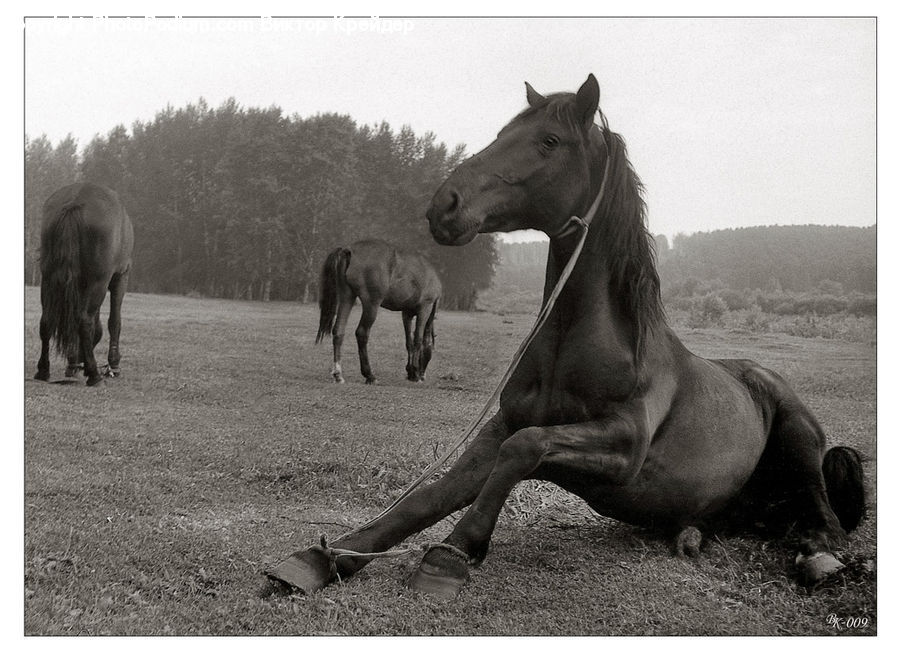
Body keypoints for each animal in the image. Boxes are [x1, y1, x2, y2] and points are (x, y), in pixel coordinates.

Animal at [34, 182, 134, 386]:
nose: (76, 361)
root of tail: (75, 201)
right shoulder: (121, 277)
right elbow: (114, 321)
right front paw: (114, 364)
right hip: (99, 281)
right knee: (84, 320)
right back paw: (95, 375)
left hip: (48, 279)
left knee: (46, 321)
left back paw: (43, 370)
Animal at [316, 239, 442, 384]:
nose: (423, 375)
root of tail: (349, 250)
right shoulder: (425, 309)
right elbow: (418, 339)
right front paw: (415, 372)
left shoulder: (406, 314)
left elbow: (409, 342)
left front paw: (410, 371)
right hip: (371, 304)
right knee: (362, 333)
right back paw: (369, 375)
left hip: (347, 297)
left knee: (338, 331)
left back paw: (338, 374)